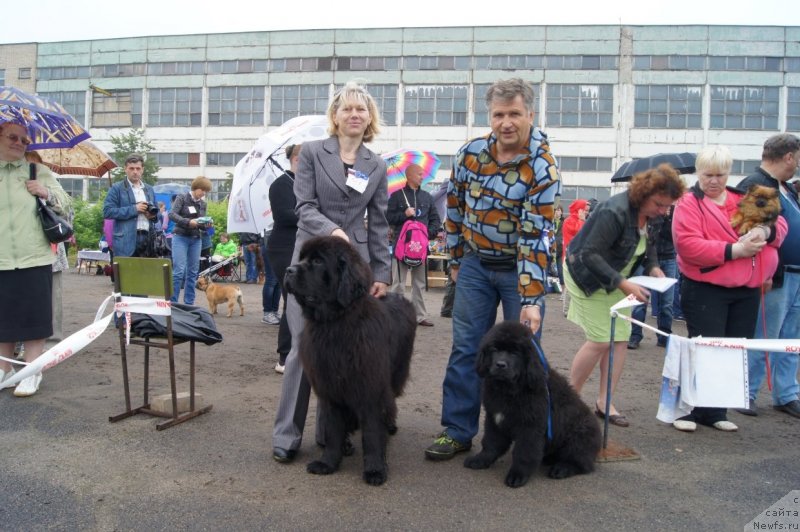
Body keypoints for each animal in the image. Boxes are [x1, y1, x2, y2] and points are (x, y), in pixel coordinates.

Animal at [282, 237, 418, 486]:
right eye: (302, 259)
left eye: (318, 261)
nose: (289, 270)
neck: (336, 324)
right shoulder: (331, 387)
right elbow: (333, 430)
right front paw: (328, 463)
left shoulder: (371, 387)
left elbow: (372, 433)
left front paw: (375, 470)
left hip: (397, 370)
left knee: (392, 399)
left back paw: (390, 424)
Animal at [462, 322, 600, 488]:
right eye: (494, 349)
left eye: (515, 353)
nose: (500, 364)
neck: (509, 390)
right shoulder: (494, 418)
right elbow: (491, 443)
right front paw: (480, 460)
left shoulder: (530, 427)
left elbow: (524, 452)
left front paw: (517, 476)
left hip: (580, 434)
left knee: (581, 462)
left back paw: (561, 469)